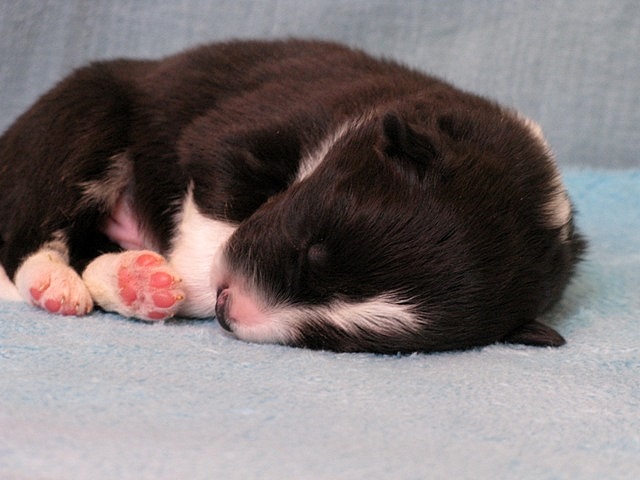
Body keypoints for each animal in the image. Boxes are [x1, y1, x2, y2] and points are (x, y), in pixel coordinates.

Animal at [0, 39, 585, 353]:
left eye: (339, 340)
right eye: (310, 251)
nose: (229, 310)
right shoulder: (228, 138)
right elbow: (213, 221)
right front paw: (190, 282)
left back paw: (136, 279)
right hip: (83, 116)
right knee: (28, 233)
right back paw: (56, 284)